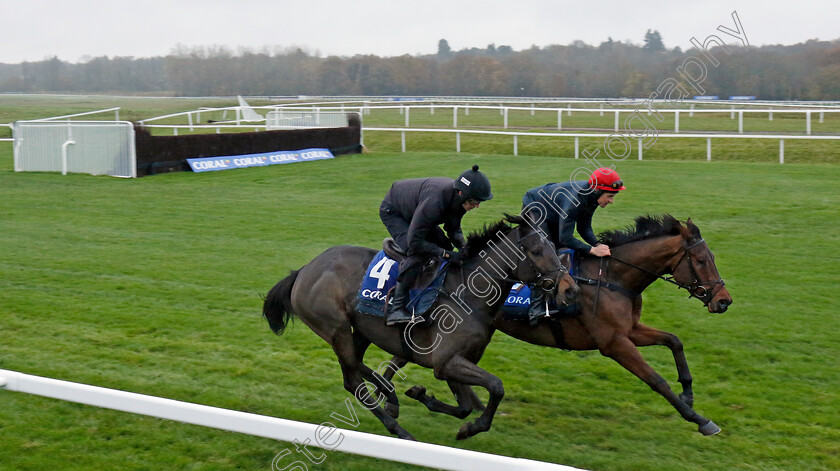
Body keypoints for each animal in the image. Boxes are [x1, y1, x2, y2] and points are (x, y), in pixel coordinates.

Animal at [262, 215, 576, 442]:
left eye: (554, 248)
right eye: (537, 251)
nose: (570, 289)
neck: (467, 293)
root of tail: (305, 269)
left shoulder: (455, 362)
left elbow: (464, 406)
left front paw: (422, 396)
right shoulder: (446, 361)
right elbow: (496, 387)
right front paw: (471, 428)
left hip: (360, 329)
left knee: (357, 364)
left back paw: (390, 394)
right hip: (335, 328)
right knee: (353, 381)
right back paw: (399, 429)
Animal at [386, 216, 728, 436]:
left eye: (712, 256)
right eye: (700, 261)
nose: (724, 301)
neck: (612, 278)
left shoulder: (629, 330)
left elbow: (674, 340)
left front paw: (688, 393)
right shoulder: (613, 343)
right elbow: (657, 380)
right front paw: (699, 419)